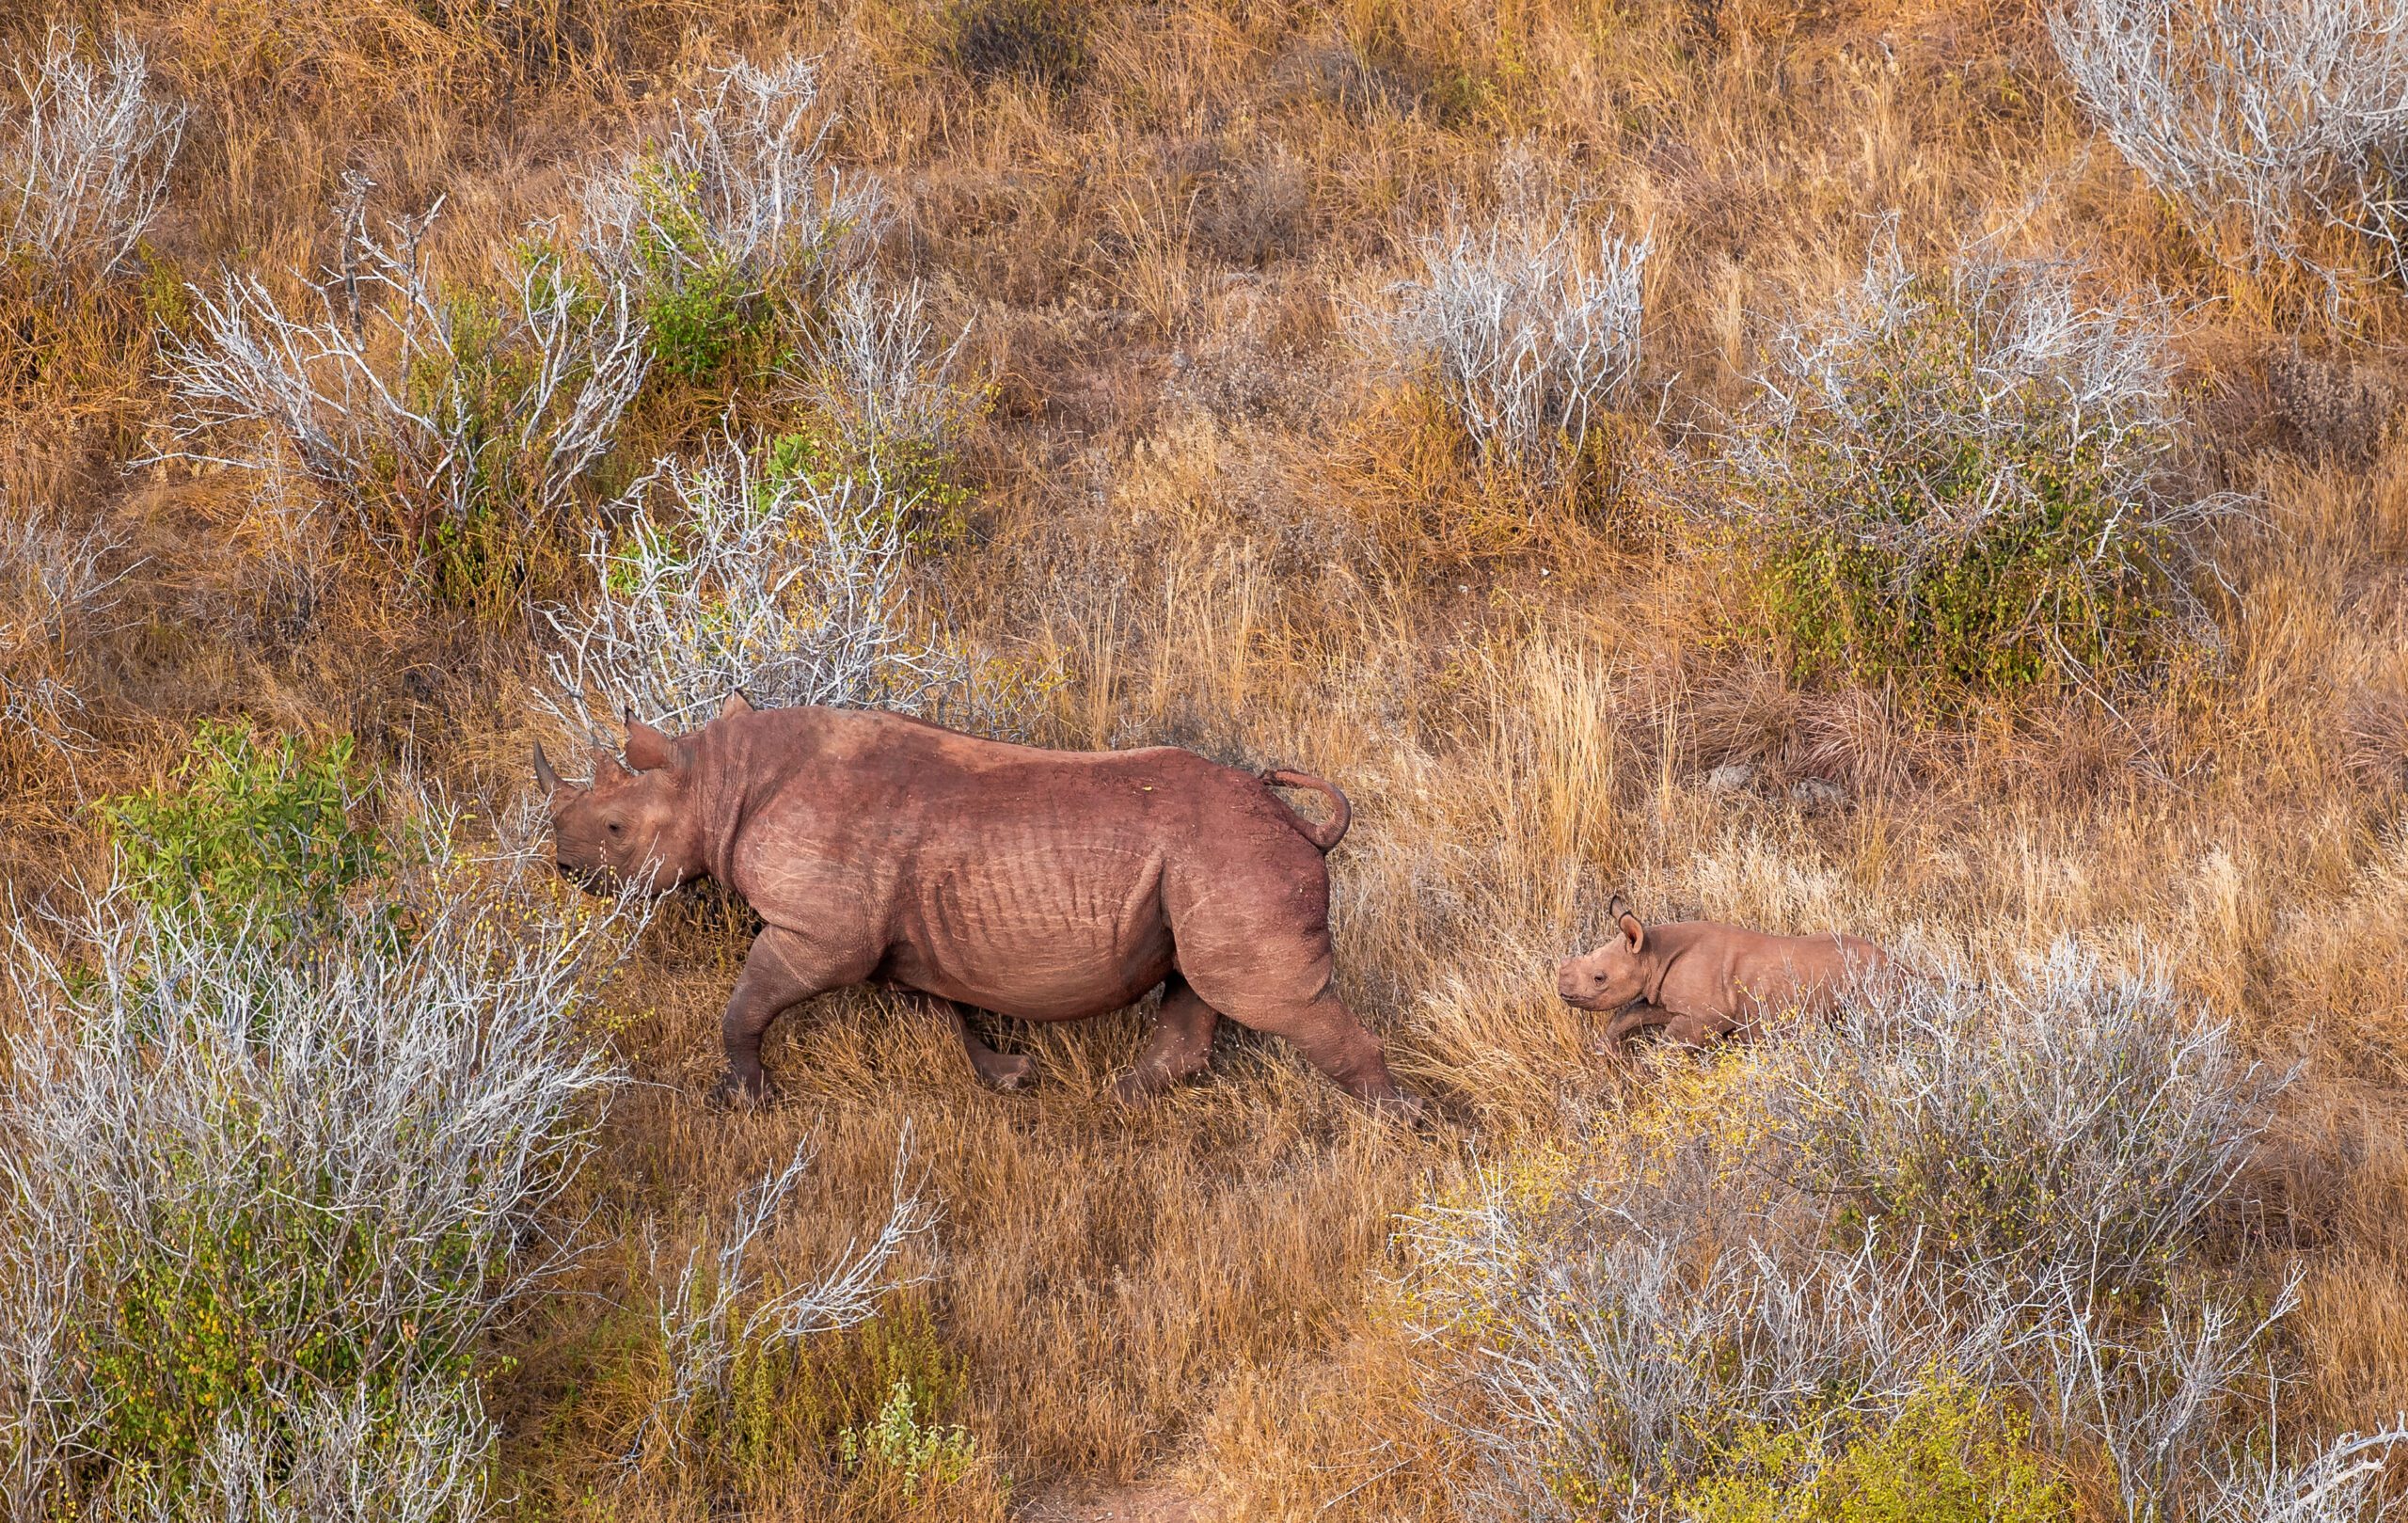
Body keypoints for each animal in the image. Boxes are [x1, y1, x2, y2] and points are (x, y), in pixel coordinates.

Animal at [536, 694, 1415, 1112]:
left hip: (1235, 857)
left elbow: (746, 1001)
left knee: (1269, 996)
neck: (719, 780)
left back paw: (1398, 1124)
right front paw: (1011, 1077)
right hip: (1212, 862)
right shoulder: (903, 938)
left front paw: (746, 1098)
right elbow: (944, 1016)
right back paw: (1120, 1099)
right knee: (1202, 981)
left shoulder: (820, 933)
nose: (564, 866)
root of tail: (1301, 825)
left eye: (614, 828)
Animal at [1555, 894, 1893, 1048]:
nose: (1563, 992)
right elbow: (1630, 1014)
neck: (1653, 953)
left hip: (1872, 980)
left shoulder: (1707, 1014)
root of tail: (1896, 962)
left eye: (1599, 978)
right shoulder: (1670, 998)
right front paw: (1607, 1051)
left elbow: (1668, 1045)